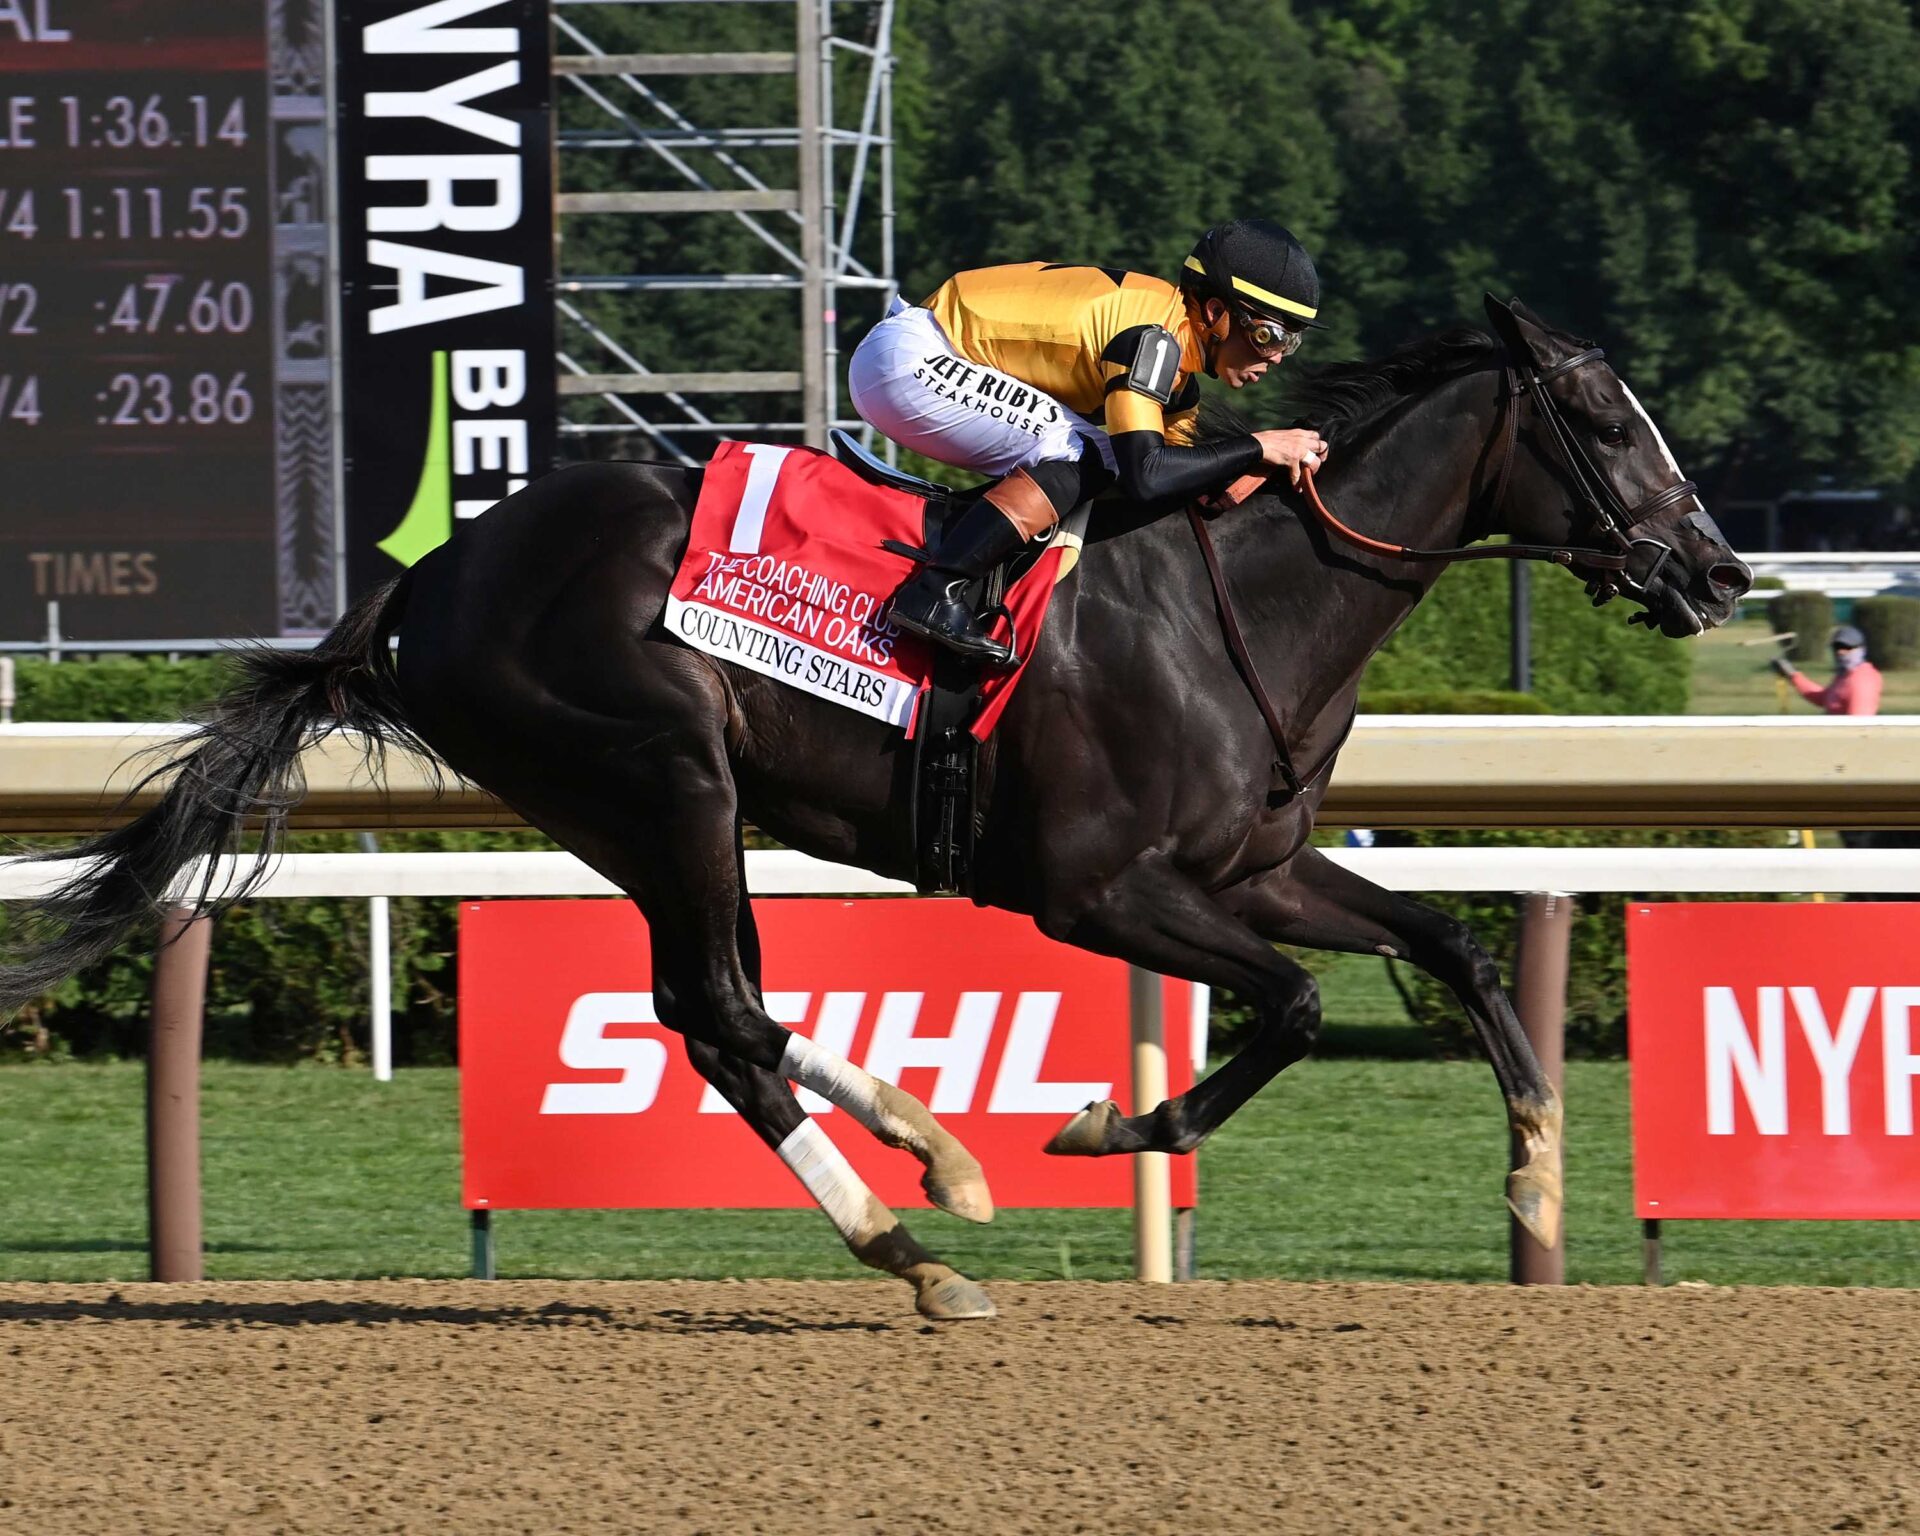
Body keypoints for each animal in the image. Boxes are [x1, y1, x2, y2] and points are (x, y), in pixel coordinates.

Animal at [0, 296, 1750, 1319]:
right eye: (1604, 419)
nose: (1722, 571)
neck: (1240, 601)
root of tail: (430, 578)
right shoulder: (1099, 892)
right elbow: (1307, 1006)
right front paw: (1115, 1121)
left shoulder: (1256, 865)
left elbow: (1452, 944)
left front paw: (1537, 1174)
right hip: (666, 774)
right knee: (717, 1012)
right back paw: (920, 1238)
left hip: (627, 807)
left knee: (724, 1008)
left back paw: (933, 1166)